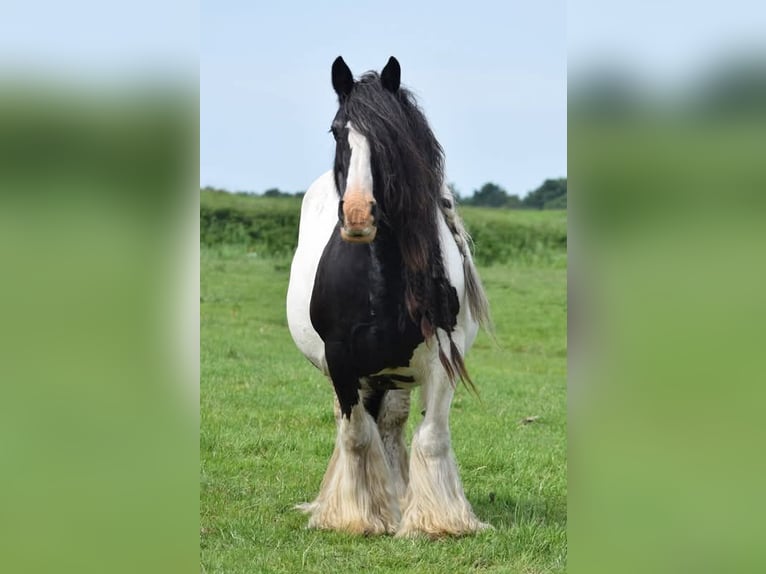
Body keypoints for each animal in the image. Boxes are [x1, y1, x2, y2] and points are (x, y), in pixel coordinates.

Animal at [286, 56, 491, 537]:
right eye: (336, 131)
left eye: (392, 136)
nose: (359, 214)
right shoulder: (341, 361)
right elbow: (356, 435)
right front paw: (354, 517)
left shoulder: (441, 359)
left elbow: (430, 437)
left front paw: (437, 523)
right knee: (360, 426)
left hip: (395, 375)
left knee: (392, 425)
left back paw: (398, 501)